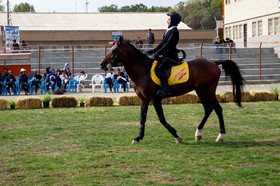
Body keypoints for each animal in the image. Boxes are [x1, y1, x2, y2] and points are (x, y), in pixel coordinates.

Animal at [99, 37, 244, 143]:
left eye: (114, 51)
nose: (102, 64)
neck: (143, 71)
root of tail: (214, 62)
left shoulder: (155, 98)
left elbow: (162, 119)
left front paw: (177, 136)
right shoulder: (144, 100)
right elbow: (142, 119)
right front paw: (138, 138)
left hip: (203, 91)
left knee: (209, 109)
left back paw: (203, 134)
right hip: (209, 91)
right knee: (216, 109)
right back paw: (216, 135)